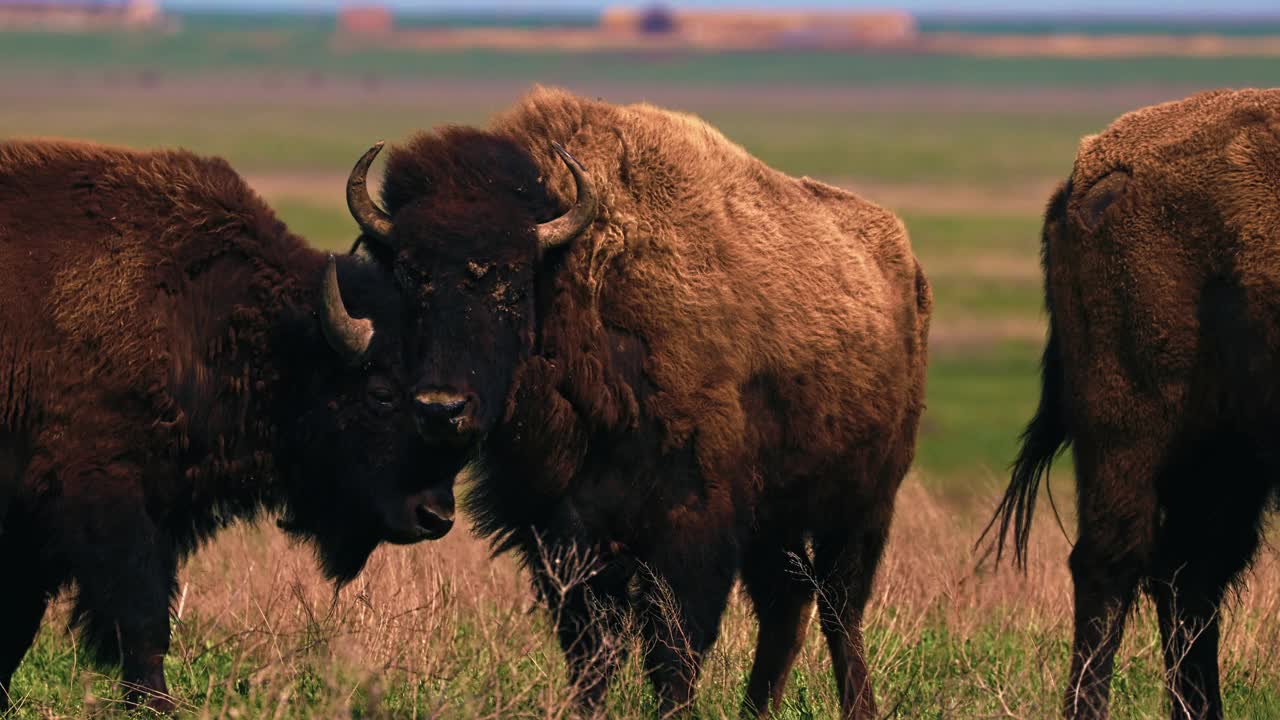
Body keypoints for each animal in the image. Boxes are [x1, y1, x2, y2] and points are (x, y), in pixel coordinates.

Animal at [345, 87, 936, 712]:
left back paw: (858, 707)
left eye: (512, 282)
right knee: (788, 608)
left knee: (838, 612)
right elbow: (591, 654)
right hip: (778, 519)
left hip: (861, 507)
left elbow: (674, 649)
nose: (441, 408)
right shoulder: (562, 537)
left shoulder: (690, 531)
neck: (579, 286)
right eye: (408, 278)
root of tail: (906, 264)